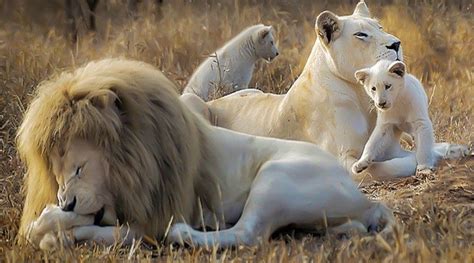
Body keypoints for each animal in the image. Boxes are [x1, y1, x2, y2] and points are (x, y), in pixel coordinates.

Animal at [16, 58, 394, 251]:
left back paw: (183, 234)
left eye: (79, 168)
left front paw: (53, 226)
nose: (66, 202)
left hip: (276, 178)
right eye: (56, 172)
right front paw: (53, 227)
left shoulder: (158, 212)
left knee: (248, 234)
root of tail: (365, 200)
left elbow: (114, 230)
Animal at [193, 1, 470, 180]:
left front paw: (450, 150)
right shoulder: (342, 160)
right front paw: (428, 159)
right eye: (361, 34)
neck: (362, 97)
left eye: (379, 27)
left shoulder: (388, 144)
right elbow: (392, 165)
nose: (396, 43)